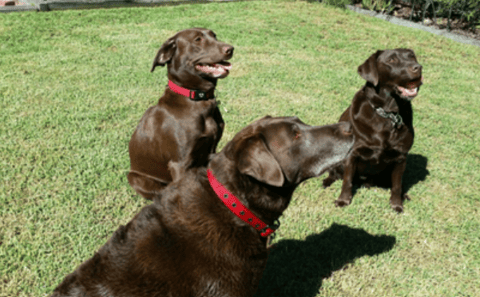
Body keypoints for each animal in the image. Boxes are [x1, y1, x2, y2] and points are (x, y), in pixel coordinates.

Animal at [126, 27, 233, 199]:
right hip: (135, 177)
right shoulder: (180, 163)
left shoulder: (212, 149)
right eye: (198, 40)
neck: (196, 99)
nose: (230, 49)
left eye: (214, 36)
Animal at [322, 48, 424, 212]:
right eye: (391, 60)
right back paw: (326, 182)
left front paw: (397, 204)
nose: (418, 67)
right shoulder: (351, 154)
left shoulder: (401, 157)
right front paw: (343, 200)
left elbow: (396, 185)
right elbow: (347, 181)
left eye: (412, 57)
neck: (388, 114)